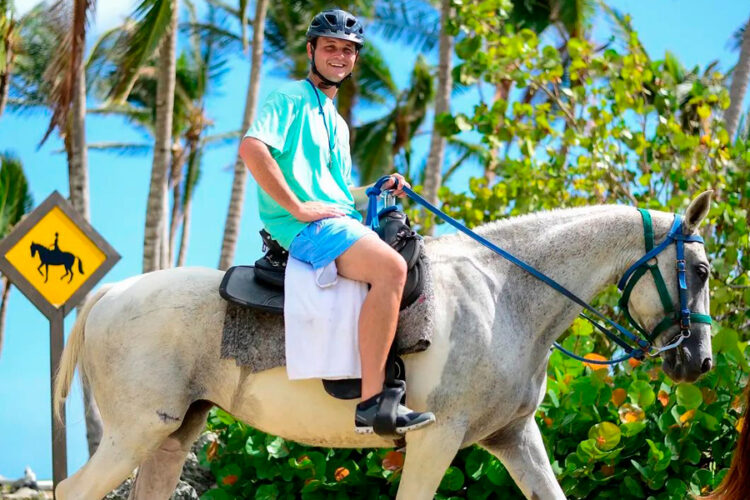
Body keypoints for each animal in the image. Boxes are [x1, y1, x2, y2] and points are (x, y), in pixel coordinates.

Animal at [54, 192, 716, 500]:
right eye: (703, 270)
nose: (701, 361)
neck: (504, 292)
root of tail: (112, 293)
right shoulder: (435, 439)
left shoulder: (513, 439)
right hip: (135, 432)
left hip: (170, 436)